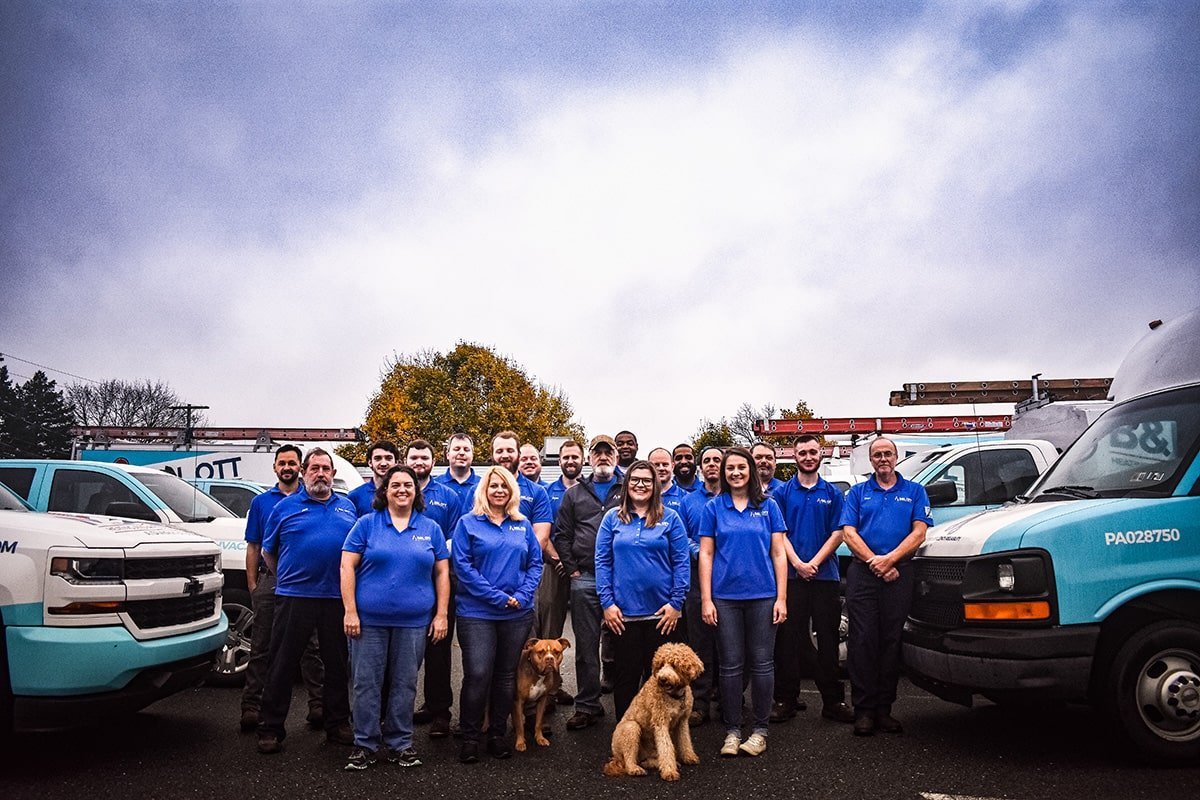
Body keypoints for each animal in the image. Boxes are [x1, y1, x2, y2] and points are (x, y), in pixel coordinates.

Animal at [602, 642, 704, 781]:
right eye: (660, 665)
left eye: (674, 665)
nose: (662, 678)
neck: (675, 696)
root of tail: (616, 758)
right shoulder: (661, 723)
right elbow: (666, 748)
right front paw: (669, 771)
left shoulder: (682, 721)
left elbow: (685, 740)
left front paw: (689, 757)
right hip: (631, 728)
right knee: (629, 759)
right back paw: (635, 769)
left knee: (646, 759)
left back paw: (652, 763)